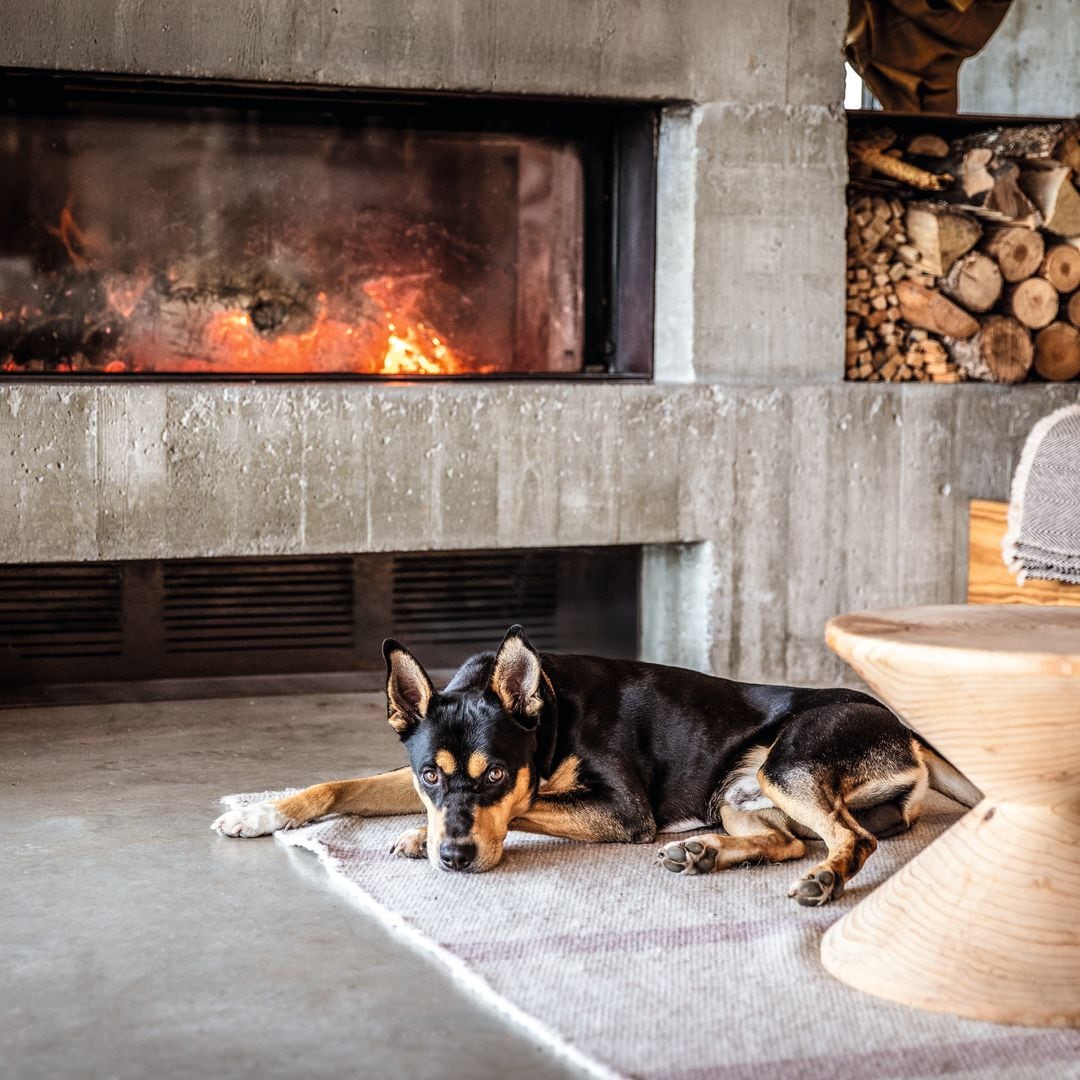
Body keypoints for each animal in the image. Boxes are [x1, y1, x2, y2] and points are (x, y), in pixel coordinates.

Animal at [212, 622, 980, 907]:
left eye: (496, 774)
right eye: (432, 775)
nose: (454, 858)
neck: (548, 711)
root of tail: (904, 727)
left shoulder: (623, 810)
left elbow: (523, 808)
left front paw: (419, 835)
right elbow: (336, 784)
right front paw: (258, 811)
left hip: (787, 765)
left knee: (852, 838)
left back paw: (823, 878)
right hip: (736, 790)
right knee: (788, 839)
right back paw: (704, 854)